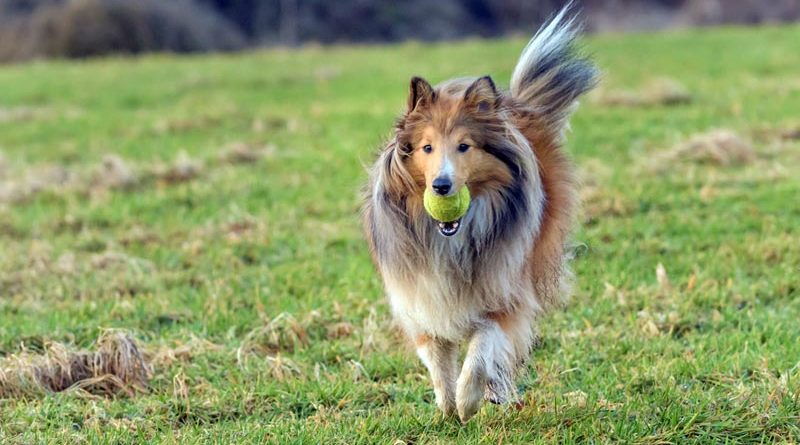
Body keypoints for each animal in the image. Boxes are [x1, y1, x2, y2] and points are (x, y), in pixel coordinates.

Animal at [366, 7, 596, 424]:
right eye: (426, 147)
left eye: (464, 146)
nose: (442, 186)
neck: (451, 239)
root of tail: (517, 106)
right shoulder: (421, 295)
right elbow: (437, 358)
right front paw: (446, 405)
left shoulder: (504, 289)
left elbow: (483, 346)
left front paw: (467, 399)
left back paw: (498, 390)